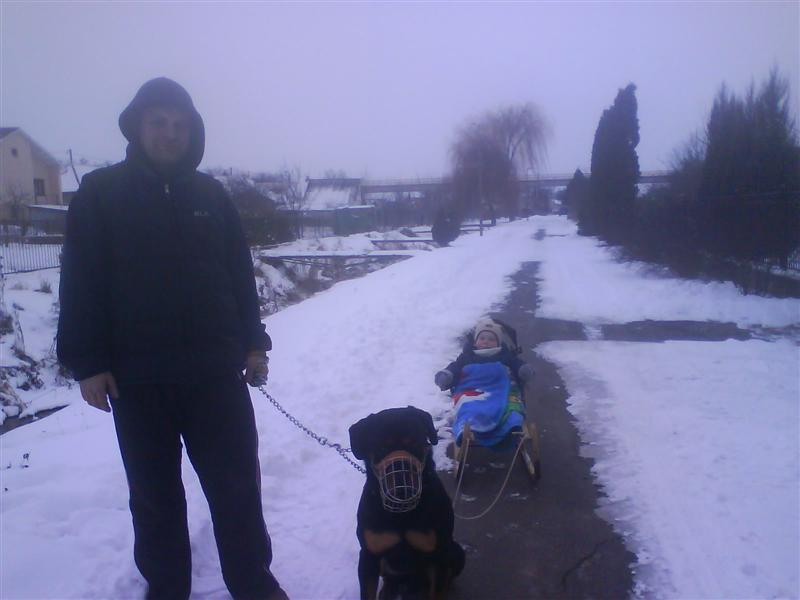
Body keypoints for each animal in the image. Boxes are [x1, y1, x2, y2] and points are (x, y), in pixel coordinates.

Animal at [349, 406, 465, 600]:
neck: (401, 509)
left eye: (414, 443)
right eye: (381, 447)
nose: (401, 471)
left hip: (456, 551)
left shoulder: (440, 554)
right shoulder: (369, 554)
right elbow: (368, 591)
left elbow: (438, 590)